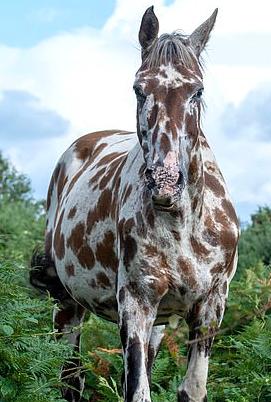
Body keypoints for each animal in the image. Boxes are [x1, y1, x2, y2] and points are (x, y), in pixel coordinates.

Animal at [30, 7, 240, 402]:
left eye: (197, 90)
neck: (183, 225)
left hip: (159, 322)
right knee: (71, 379)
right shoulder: (136, 302)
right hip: (68, 306)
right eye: (139, 89)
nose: (165, 182)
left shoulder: (210, 307)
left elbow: (191, 388)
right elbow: (138, 391)